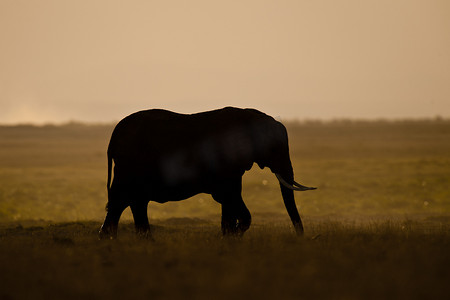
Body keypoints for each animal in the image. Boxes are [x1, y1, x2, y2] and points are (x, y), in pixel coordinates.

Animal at [99, 106, 316, 239]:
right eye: (274, 148)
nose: (300, 237)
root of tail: (112, 136)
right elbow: (230, 198)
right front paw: (233, 235)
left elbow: (229, 201)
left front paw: (229, 238)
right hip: (130, 165)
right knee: (123, 200)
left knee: (131, 202)